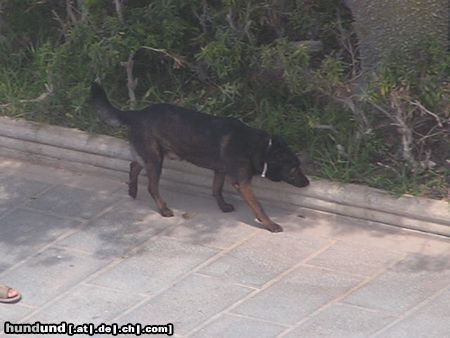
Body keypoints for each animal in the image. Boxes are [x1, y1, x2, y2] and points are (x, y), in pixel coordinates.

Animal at [91, 83, 310, 231]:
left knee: (133, 165)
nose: (307, 182)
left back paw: (132, 190)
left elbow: (216, 190)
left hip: (151, 155)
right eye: (293, 167)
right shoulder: (242, 183)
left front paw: (223, 206)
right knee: (152, 186)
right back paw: (163, 209)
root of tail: (136, 113)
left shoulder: (220, 171)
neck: (261, 148)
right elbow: (258, 207)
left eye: (299, 165)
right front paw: (270, 224)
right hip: (156, 160)